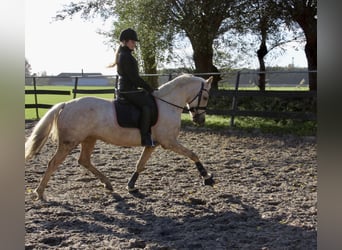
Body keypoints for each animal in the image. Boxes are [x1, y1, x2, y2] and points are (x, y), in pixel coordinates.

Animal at [25, 73, 215, 200]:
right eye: (206, 96)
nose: (200, 120)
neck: (167, 105)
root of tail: (66, 104)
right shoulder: (169, 142)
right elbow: (193, 154)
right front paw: (207, 177)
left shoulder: (152, 144)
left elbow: (140, 164)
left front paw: (131, 186)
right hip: (69, 142)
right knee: (53, 163)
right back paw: (39, 192)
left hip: (89, 139)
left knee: (84, 160)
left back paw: (108, 184)